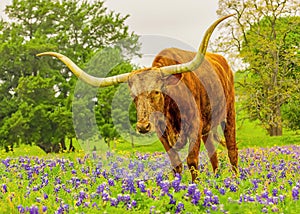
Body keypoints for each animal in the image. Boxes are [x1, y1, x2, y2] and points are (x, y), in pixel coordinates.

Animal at [38, 14, 239, 181]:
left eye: (156, 91)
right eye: (132, 95)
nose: (143, 126)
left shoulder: (194, 129)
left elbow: (192, 162)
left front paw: (195, 186)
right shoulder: (162, 134)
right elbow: (176, 163)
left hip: (229, 115)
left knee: (232, 151)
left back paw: (236, 179)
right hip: (208, 128)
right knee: (213, 153)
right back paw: (217, 178)